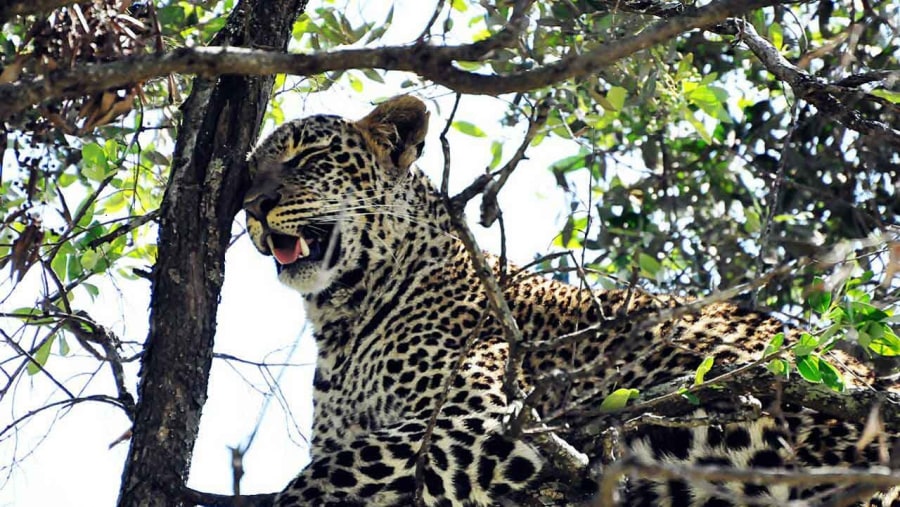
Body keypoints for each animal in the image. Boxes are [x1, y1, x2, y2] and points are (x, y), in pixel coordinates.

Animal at [243, 96, 896, 507]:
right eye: (250, 169)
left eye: (309, 158)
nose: (250, 204)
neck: (341, 317)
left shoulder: (486, 416)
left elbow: (334, 470)